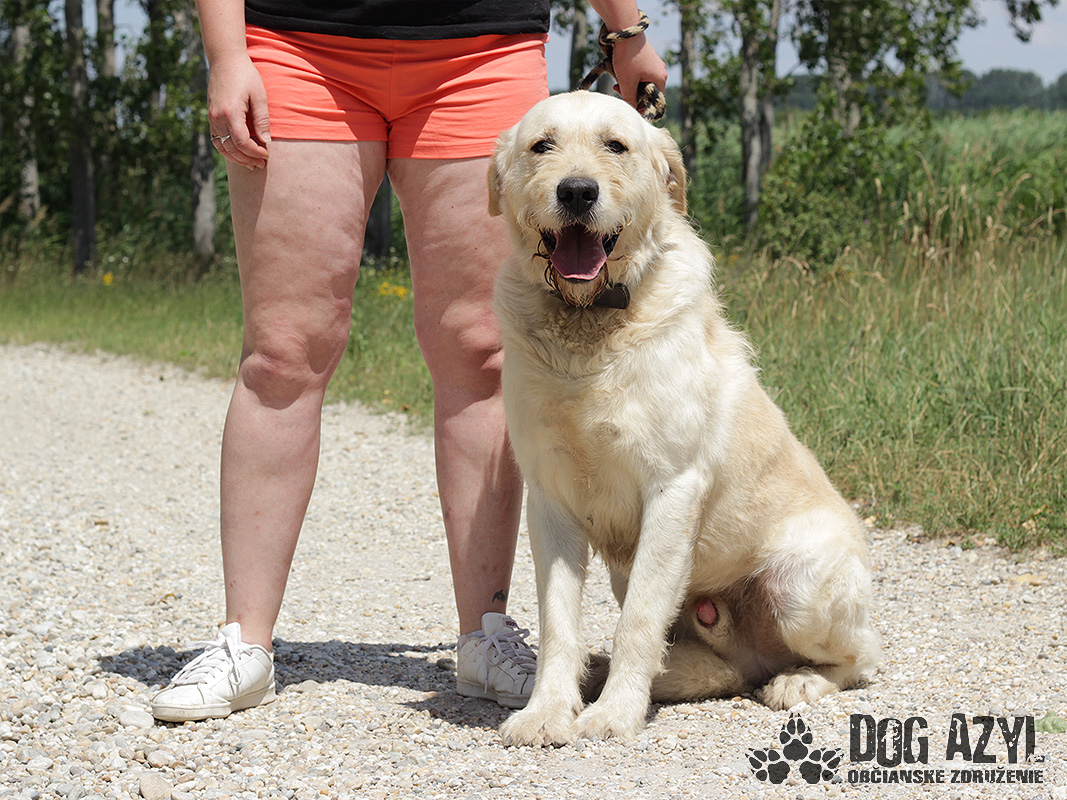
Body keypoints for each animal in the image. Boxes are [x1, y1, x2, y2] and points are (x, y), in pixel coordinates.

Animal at [488, 91, 880, 746]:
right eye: (542, 145)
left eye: (615, 145)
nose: (577, 192)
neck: (590, 326)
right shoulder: (548, 499)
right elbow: (557, 624)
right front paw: (547, 712)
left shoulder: (671, 490)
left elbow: (638, 624)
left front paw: (614, 715)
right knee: (724, 671)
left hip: (796, 587)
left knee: (863, 658)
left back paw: (797, 681)